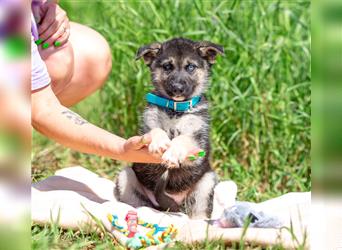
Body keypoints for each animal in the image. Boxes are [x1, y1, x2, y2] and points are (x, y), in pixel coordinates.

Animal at [113, 37, 223, 219]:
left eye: (190, 67)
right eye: (167, 67)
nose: (177, 88)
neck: (175, 109)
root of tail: (172, 206)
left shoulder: (198, 142)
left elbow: (183, 138)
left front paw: (172, 152)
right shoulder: (146, 127)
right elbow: (155, 130)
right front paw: (159, 142)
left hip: (207, 182)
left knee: (199, 212)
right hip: (126, 177)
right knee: (139, 203)